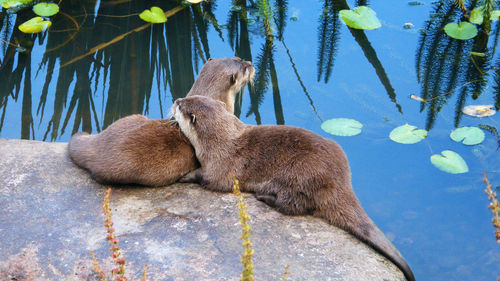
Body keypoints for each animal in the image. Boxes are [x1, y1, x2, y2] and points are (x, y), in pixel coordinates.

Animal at [174, 94, 416, 280]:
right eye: (188, 98)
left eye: (182, 106)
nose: (176, 99)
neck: (221, 141)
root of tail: (340, 183)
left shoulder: (223, 168)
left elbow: (208, 179)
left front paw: (186, 176)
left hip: (298, 177)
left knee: (294, 206)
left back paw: (265, 197)